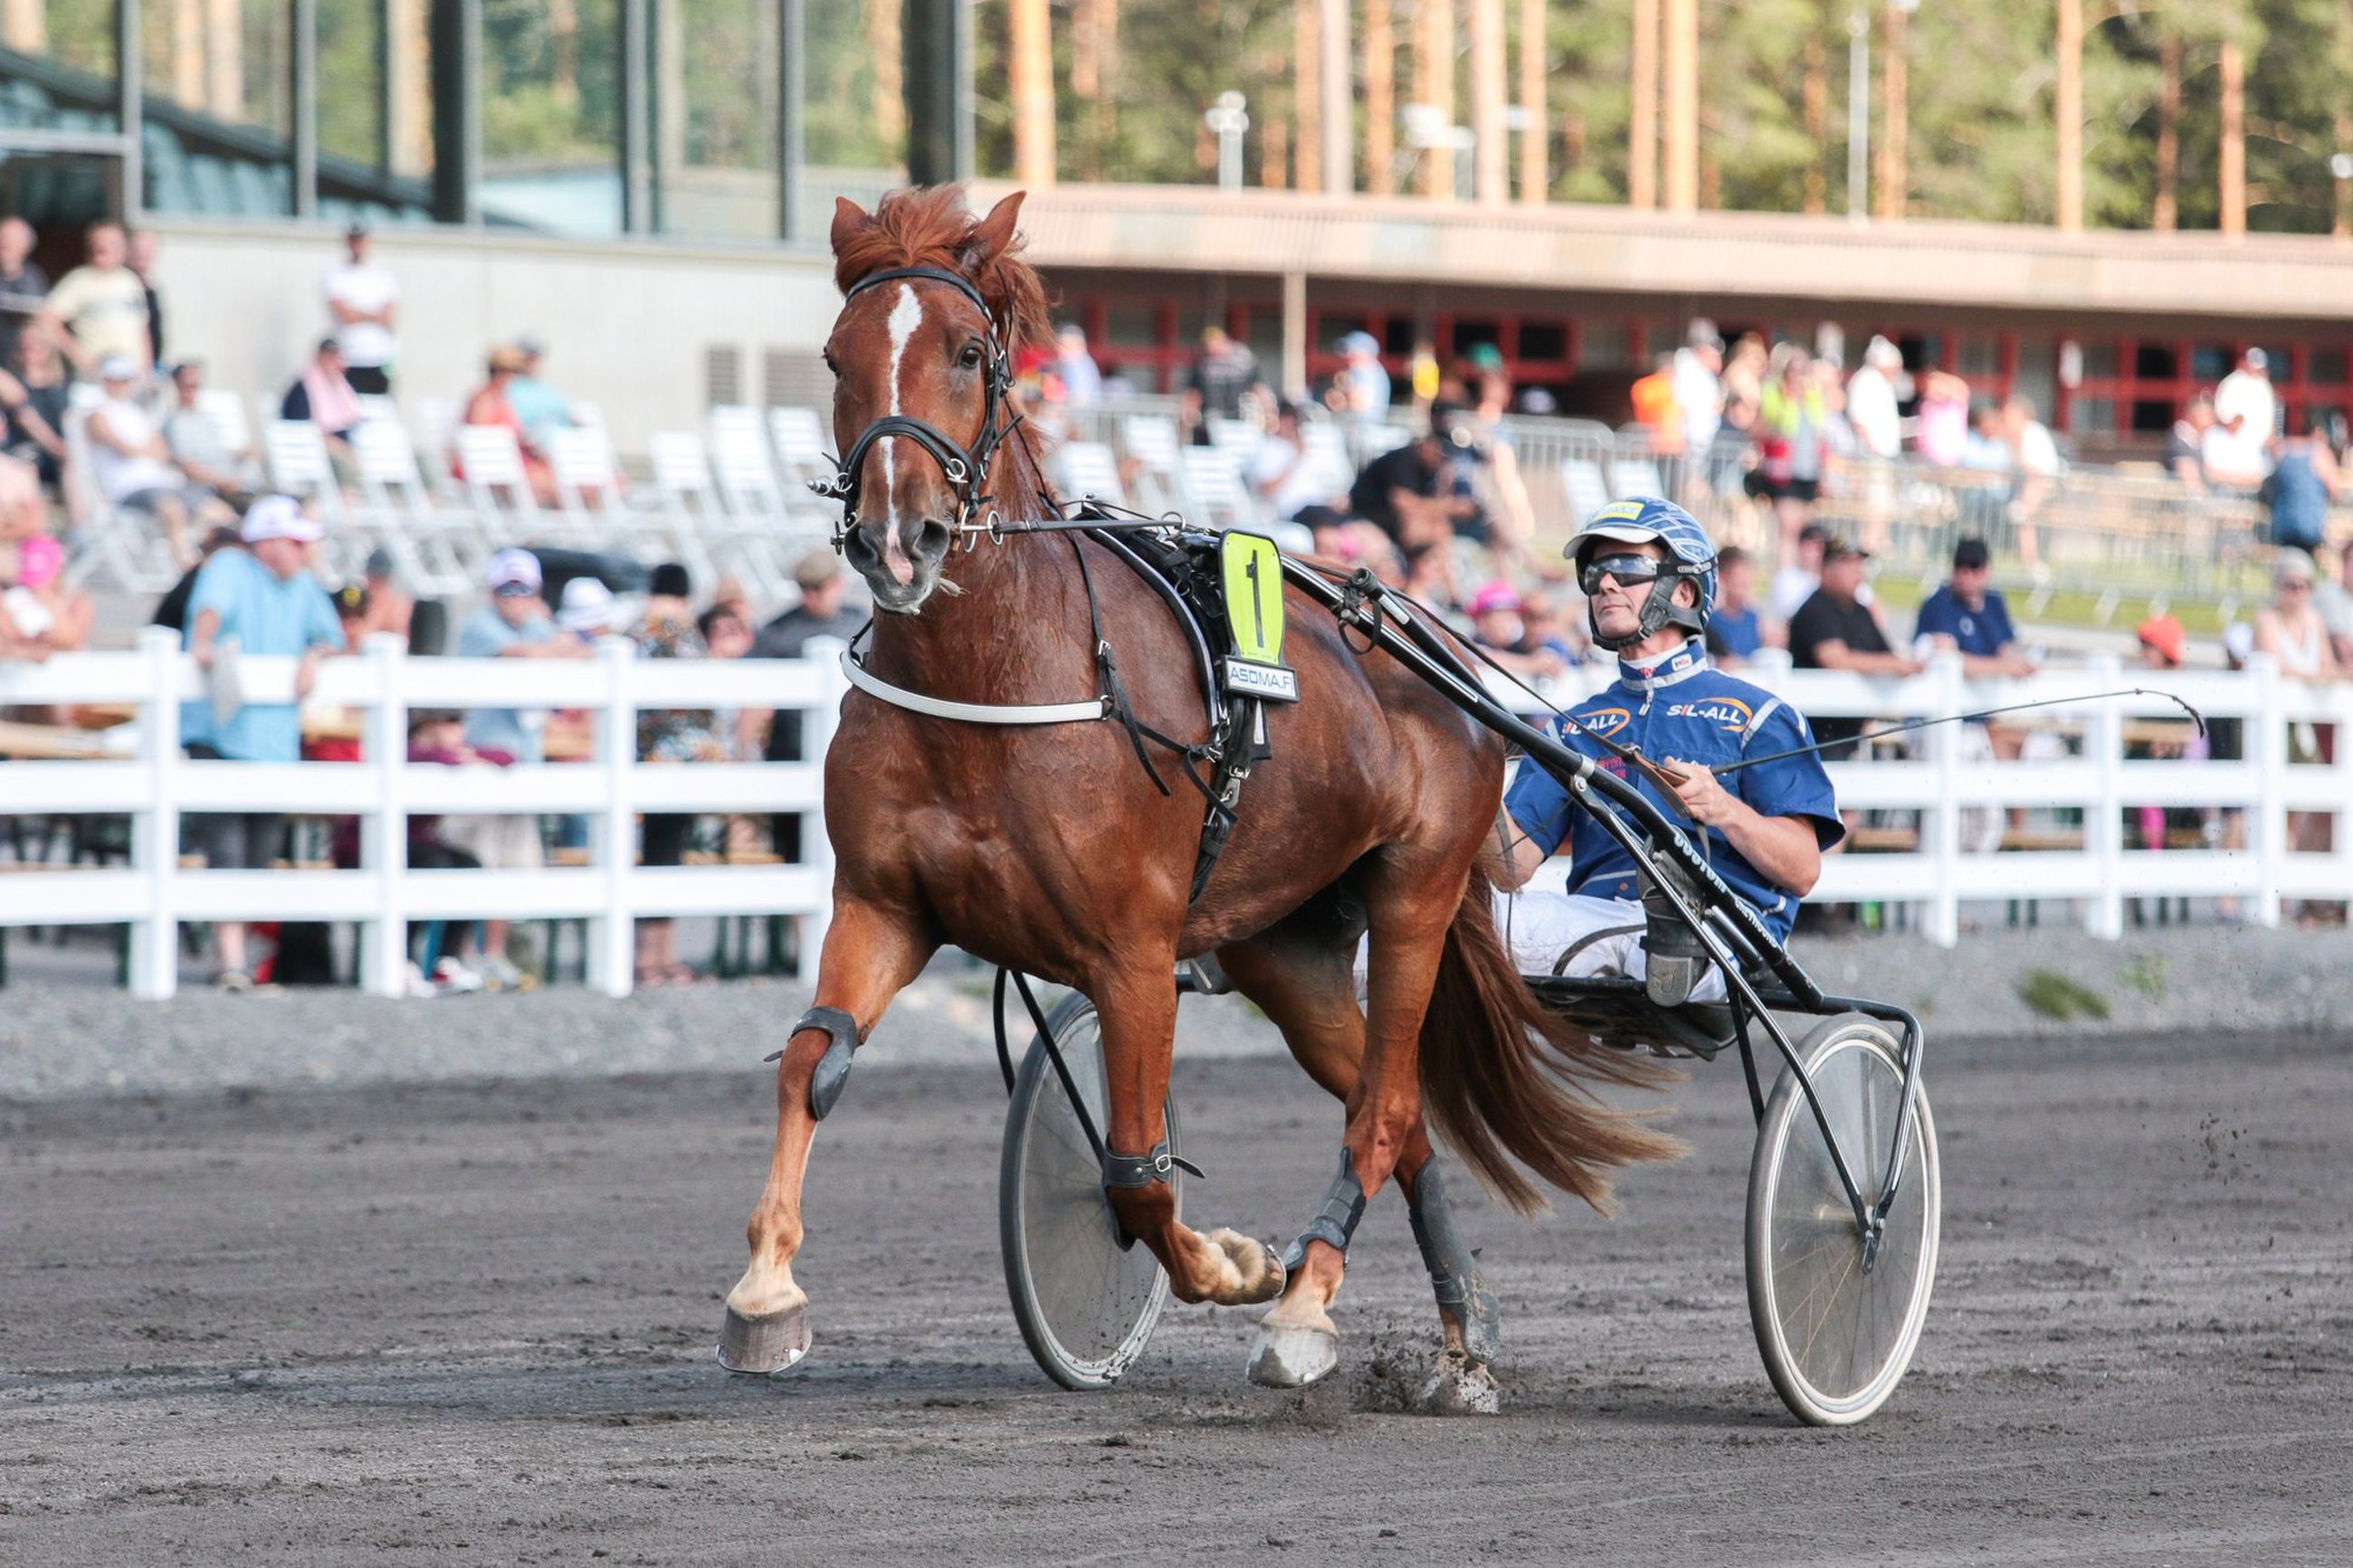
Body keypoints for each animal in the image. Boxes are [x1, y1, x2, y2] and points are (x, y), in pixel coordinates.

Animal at [715, 186, 1675, 1410]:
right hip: (1284, 945)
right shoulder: (883, 905)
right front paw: (764, 1293)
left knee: (1383, 1106)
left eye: (969, 351)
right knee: (1398, 1113)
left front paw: (1234, 1264)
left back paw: (1304, 1310)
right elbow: (810, 1061)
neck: (998, 675)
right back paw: (1461, 1333)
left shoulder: (1130, 952)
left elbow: (1134, 1169)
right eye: (838, 359)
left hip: (1412, 890)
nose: (898, 537)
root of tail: (1422, 651)